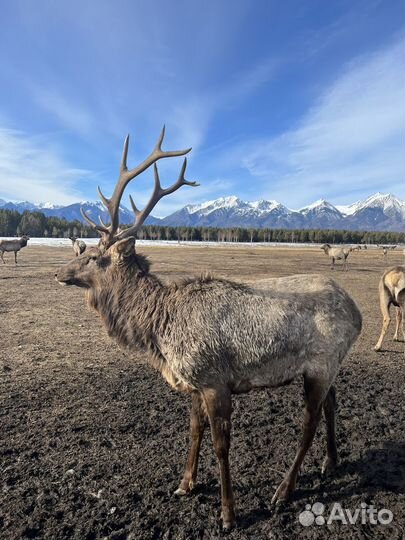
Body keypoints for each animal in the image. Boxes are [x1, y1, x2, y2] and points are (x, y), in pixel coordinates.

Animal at [55, 127, 362, 532]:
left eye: (91, 256)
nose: (58, 272)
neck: (159, 331)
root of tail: (357, 312)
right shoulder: (194, 381)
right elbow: (193, 430)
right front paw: (185, 484)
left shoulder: (216, 380)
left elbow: (221, 445)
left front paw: (228, 513)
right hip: (327, 367)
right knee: (332, 401)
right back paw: (331, 462)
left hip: (321, 363)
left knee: (308, 422)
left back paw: (283, 491)